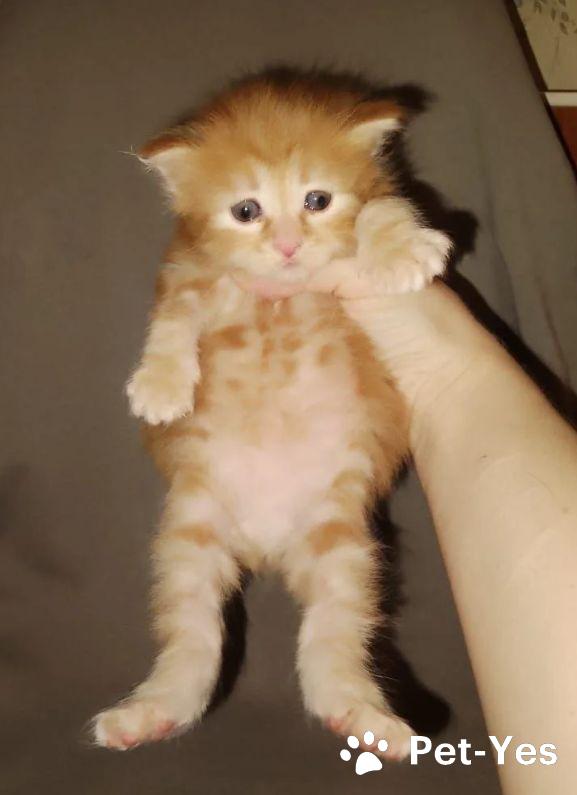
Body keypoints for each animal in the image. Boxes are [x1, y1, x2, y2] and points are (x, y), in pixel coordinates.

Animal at [92, 72, 451, 759]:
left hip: (343, 545)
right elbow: (173, 318)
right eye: (246, 211)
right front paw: (160, 382)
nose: (287, 245)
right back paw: (149, 714)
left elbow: (384, 207)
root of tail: (266, 545)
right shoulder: (190, 272)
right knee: (194, 640)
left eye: (317, 199)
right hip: (190, 538)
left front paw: (403, 247)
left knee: (332, 641)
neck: (279, 301)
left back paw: (364, 717)